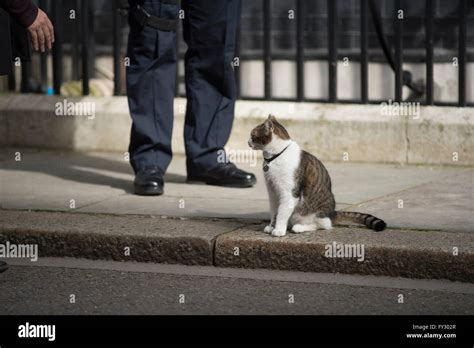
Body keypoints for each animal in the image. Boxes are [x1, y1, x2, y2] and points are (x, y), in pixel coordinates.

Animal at [246, 114, 386, 237]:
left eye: (252, 134)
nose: (247, 142)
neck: (275, 156)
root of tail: (332, 213)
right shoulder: (273, 191)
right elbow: (275, 211)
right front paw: (272, 226)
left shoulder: (289, 193)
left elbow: (282, 212)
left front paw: (279, 230)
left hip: (313, 212)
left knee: (324, 224)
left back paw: (299, 227)